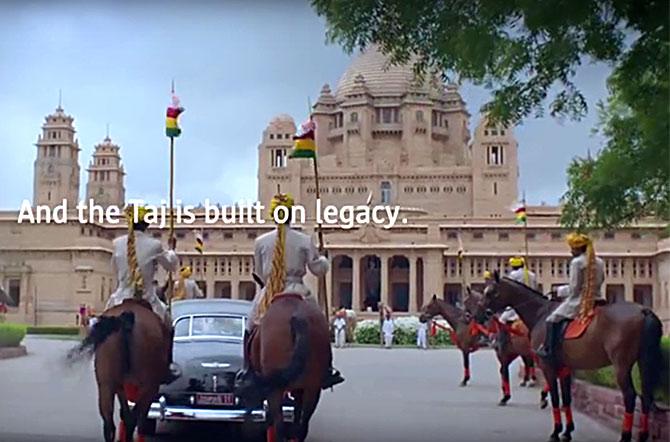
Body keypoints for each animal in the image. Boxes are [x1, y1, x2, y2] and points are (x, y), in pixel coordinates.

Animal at [67, 298, 171, 440]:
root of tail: (126, 318)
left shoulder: (120, 385)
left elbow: (124, 413)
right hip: (149, 386)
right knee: (134, 418)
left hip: (106, 384)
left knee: (109, 422)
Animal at [238, 294, 332, 442]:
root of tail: (298, 318)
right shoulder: (300, 389)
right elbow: (297, 415)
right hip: (313, 387)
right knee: (303, 425)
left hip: (276, 389)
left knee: (280, 426)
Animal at [480, 272, 664, 442]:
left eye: (491, 292)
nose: (482, 314)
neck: (540, 313)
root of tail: (644, 310)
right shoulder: (565, 367)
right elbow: (566, 398)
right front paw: (567, 431)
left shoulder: (547, 366)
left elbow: (555, 398)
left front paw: (555, 431)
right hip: (643, 361)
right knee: (646, 395)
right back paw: (643, 435)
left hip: (621, 365)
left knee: (630, 396)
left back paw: (625, 436)